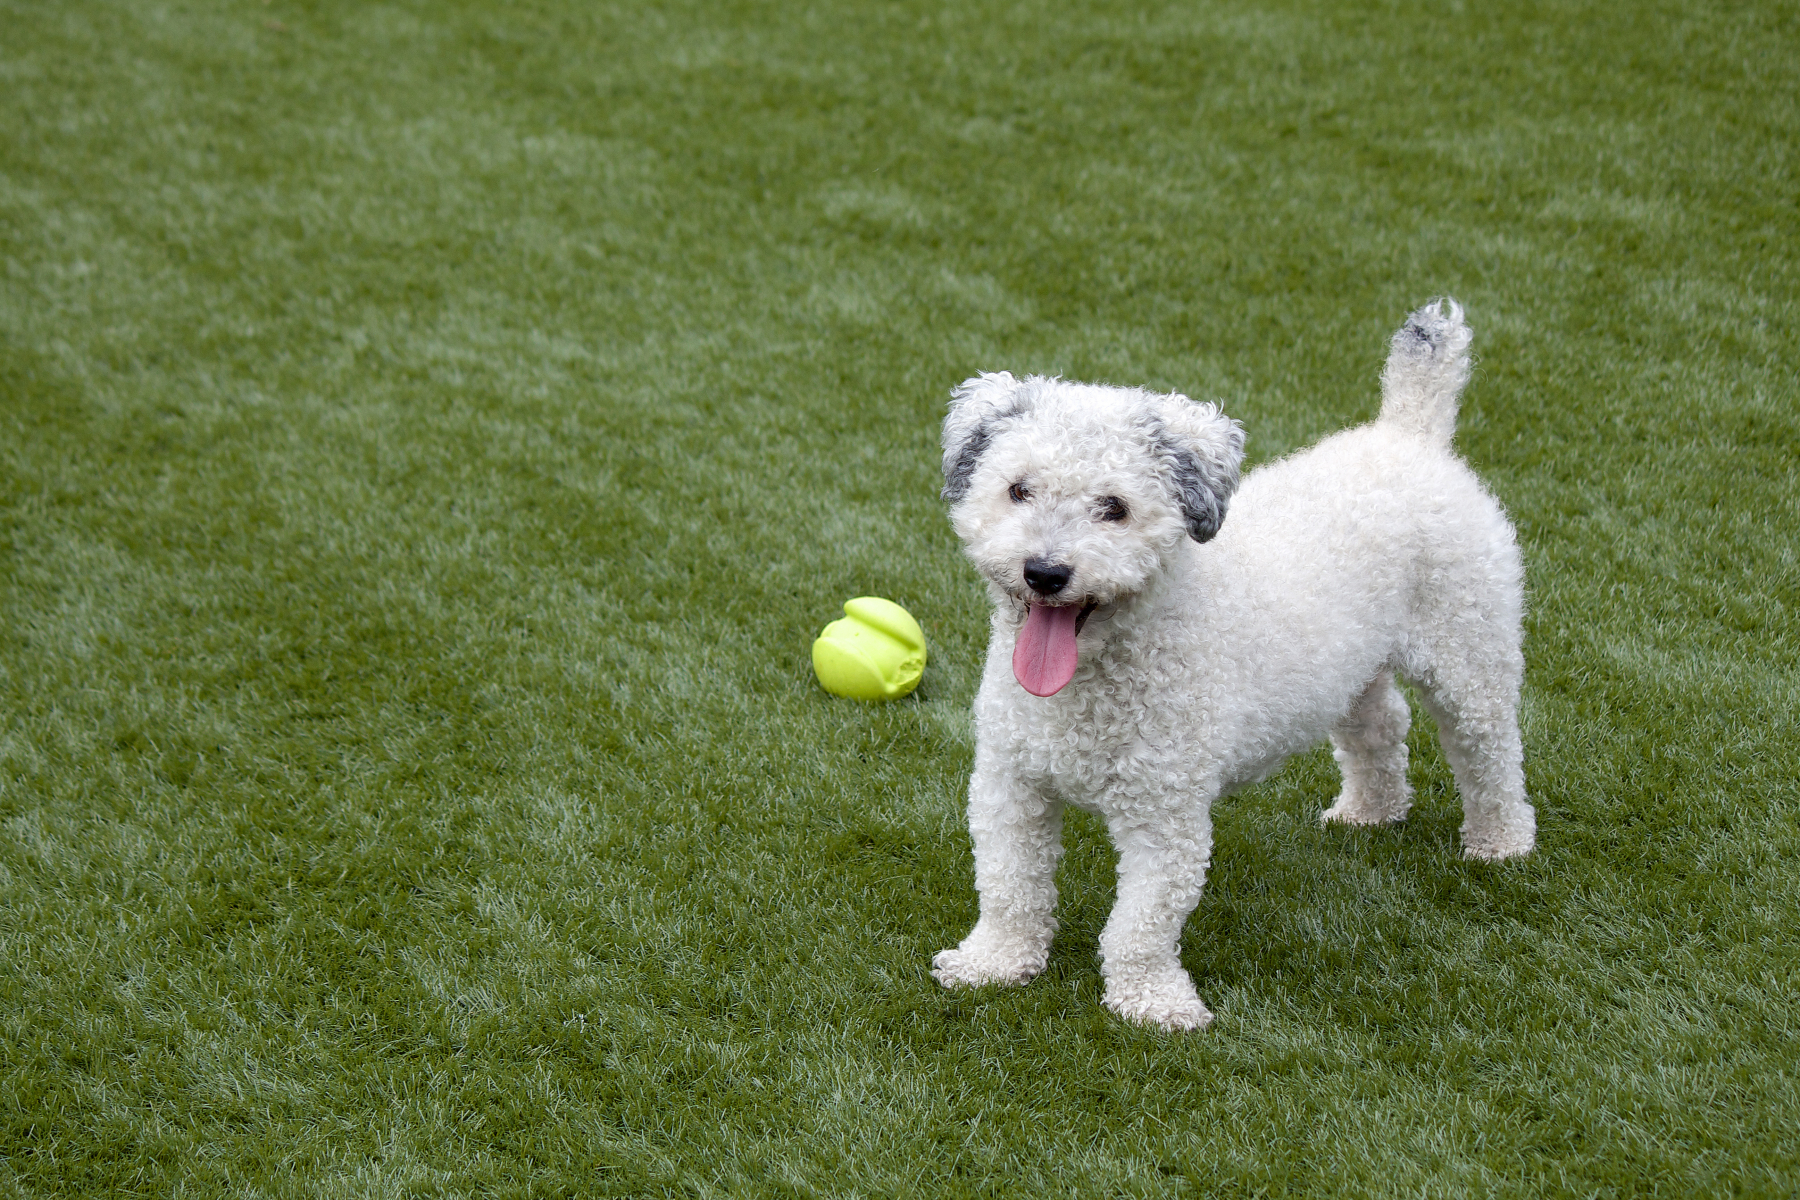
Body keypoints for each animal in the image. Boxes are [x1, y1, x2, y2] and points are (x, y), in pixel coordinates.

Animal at [928, 302, 1533, 1036]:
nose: (1044, 571)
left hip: (1470, 651)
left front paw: (1153, 1003)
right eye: (1018, 489)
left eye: (1114, 507)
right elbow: (1008, 886)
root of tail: (1408, 433)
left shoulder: (1166, 813)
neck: (1087, 689)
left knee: (1489, 750)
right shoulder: (1010, 785)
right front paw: (993, 963)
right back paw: (1370, 811)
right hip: (1351, 667)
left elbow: (1141, 924)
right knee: (1382, 724)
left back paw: (1501, 842)